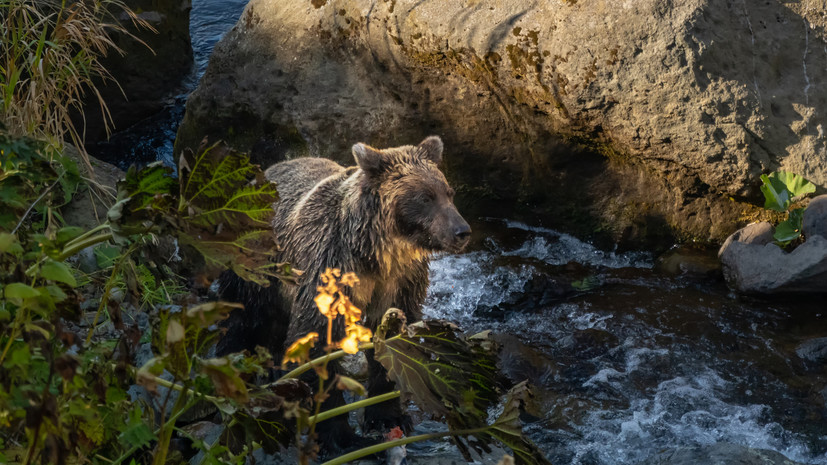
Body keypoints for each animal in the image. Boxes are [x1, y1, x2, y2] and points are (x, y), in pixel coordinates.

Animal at [220, 134, 468, 442]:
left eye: (449, 192)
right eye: (425, 197)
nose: (462, 231)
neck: (375, 253)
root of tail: (263, 174)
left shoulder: (401, 281)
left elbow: (393, 340)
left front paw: (386, 416)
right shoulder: (328, 267)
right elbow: (315, 337)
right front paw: (338, 433)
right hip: (255, 263)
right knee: (241, 318)